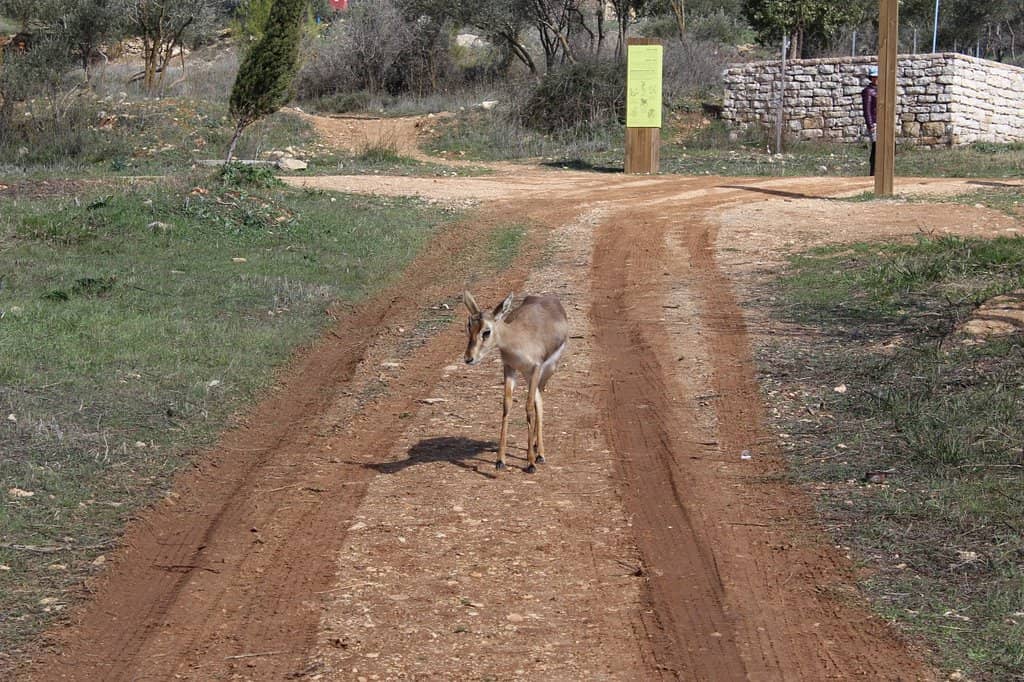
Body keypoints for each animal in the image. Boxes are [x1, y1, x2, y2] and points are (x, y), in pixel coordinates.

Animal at [463, 290, 568, 473]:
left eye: (486, 331)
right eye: (469, 326)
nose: (469, 358)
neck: (519, 339)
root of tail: (551, 299)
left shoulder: (535, 369)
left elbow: (529, 407)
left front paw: (530, 462)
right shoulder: (509, 368)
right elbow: (507, 405)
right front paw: (500, 460)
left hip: (546, 371)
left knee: (539, 403)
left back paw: (539, 454)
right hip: (528, 375)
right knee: (539, 400)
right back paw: (536, 448)